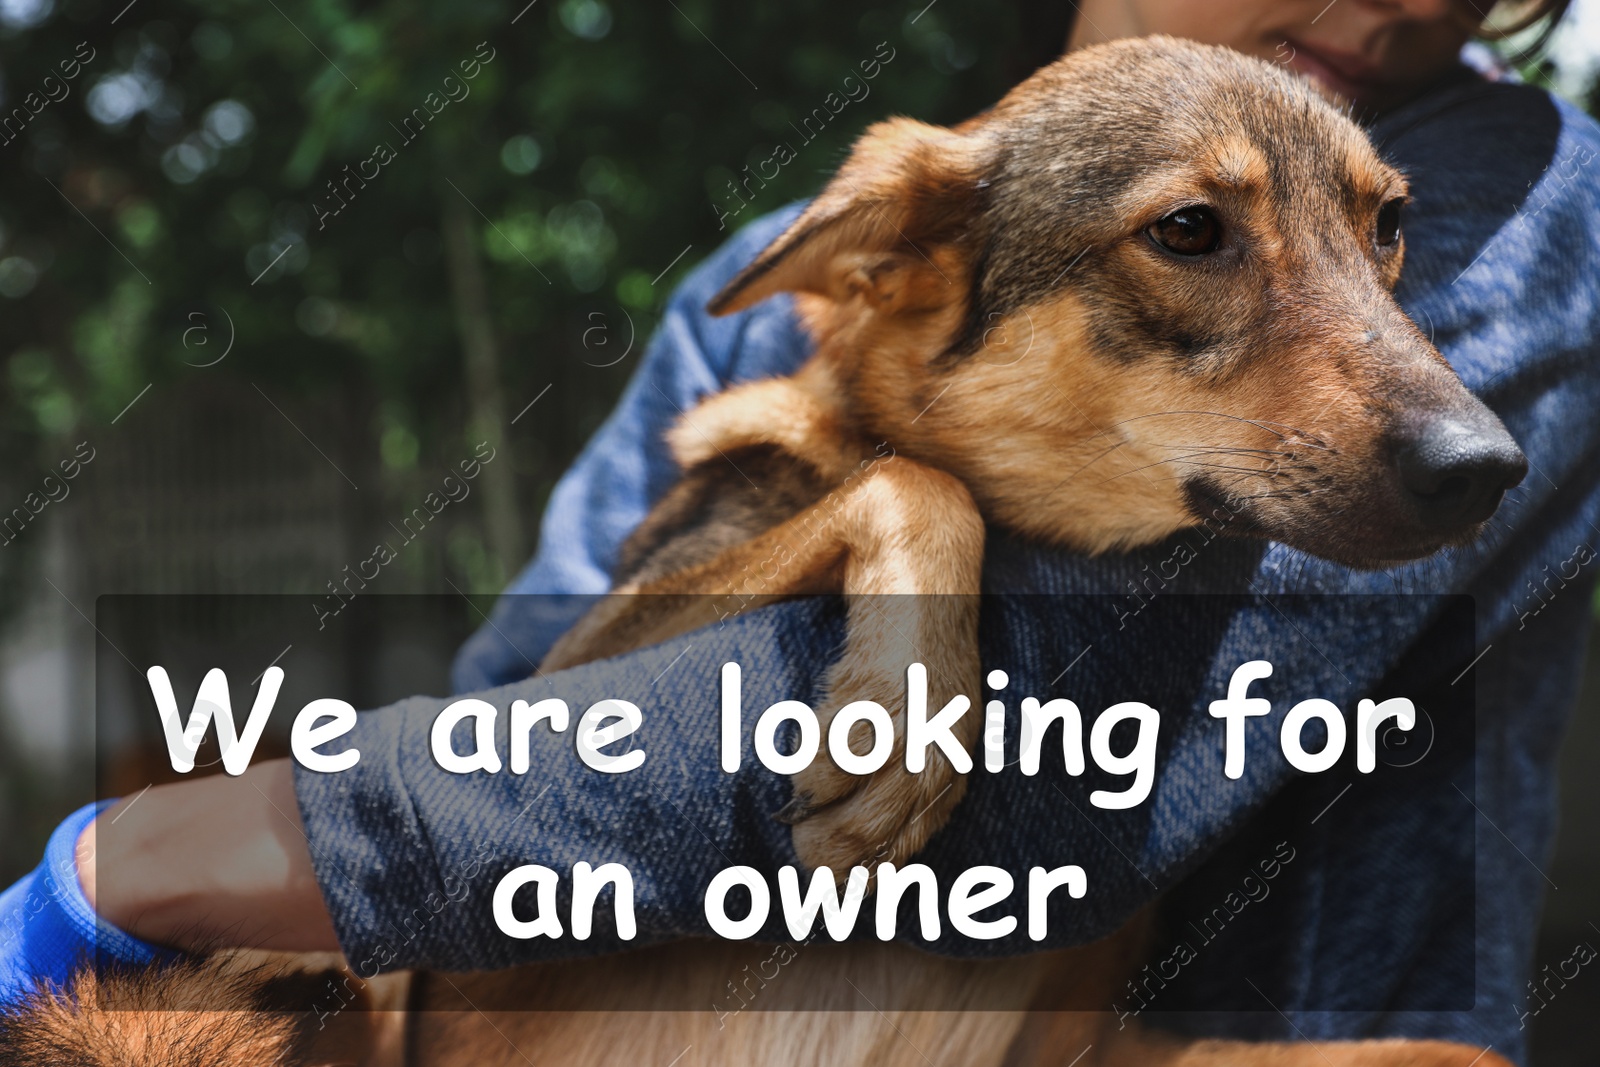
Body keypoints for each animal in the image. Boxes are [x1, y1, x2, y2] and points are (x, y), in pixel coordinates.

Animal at [0, 33, 1523, 1067]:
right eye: (1190, 230)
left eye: (1390, 226)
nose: (1488, 468)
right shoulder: (579, 665)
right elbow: (915, 476)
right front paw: (901, 726)